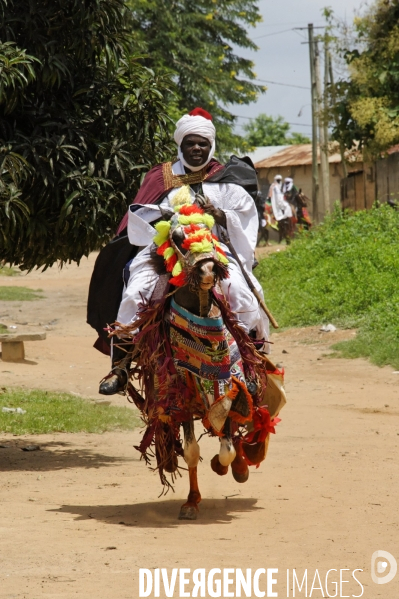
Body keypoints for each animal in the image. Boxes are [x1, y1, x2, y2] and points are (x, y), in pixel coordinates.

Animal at [109, 198, 284, 520]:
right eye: (178, 238)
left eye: (208, 231)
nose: (209, 271)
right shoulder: (181, 397)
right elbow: (191, 451)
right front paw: (192, 501)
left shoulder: (229, 385)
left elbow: (227, 445)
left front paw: (230, 466)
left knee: (242, 423)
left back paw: (242, 463)